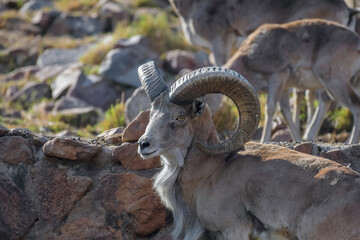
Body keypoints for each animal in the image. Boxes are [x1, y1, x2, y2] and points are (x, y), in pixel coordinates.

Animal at [224, 19, 360, 142]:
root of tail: (356, 43)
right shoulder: (283, 89)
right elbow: (286, 113)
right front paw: (298, 140)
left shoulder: (277, 78)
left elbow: (270, 108)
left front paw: (264, 141)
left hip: (335, 84)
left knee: (355, 106)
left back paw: (351, 142)